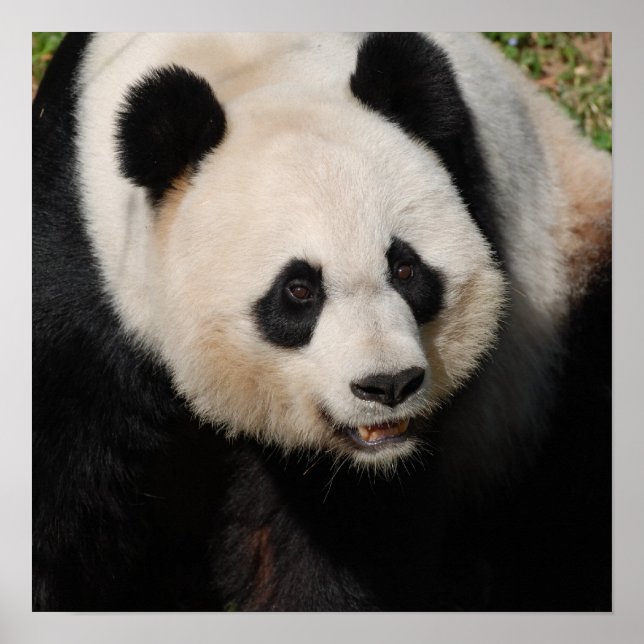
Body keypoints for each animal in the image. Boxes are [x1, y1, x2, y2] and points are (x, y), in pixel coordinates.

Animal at [32, 32, 611, 611]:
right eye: (299, 290)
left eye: (405, 269)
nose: (388, 385)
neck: (259, 65)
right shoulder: (83, 274)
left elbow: (342, 537)